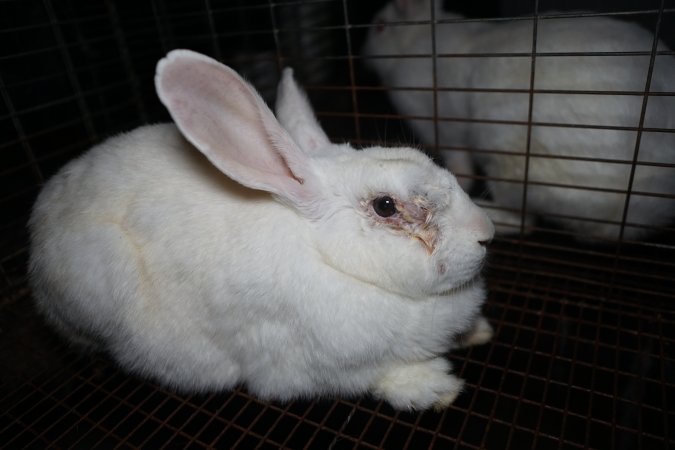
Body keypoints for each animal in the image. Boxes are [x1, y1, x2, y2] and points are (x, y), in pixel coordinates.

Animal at [29, 50, 494, 412]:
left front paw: (479, 331)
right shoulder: (308, 368)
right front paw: (436, 387)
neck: (329, 258)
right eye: (385, 206)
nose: (485, 234)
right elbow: (378, 376)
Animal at [364, 0, 675, 241]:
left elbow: (461, 165)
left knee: (524, 221)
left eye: (380, 26)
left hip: (510, 167)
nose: (363, 53)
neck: (415, 42)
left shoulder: (444, 129)